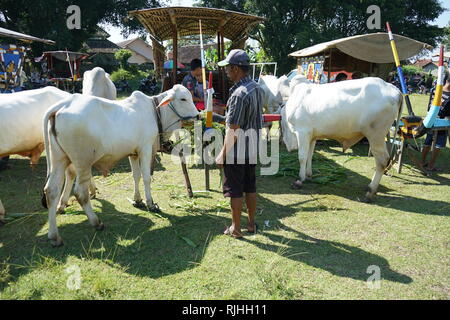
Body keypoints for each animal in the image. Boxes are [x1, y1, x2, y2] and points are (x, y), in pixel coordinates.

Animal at [44, 84, 199, 245]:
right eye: (183, 99)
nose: (198, 115)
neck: (155, 111)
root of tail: (62, 105)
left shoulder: (133, 153)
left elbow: (136, 176)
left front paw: (137, 200)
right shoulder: (145, 148)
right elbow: (146, 178)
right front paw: (151, 204)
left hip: (59, 159)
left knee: (52, 191)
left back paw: (54, 236)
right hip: (83, 163)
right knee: (80, 192)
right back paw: (96, 222)